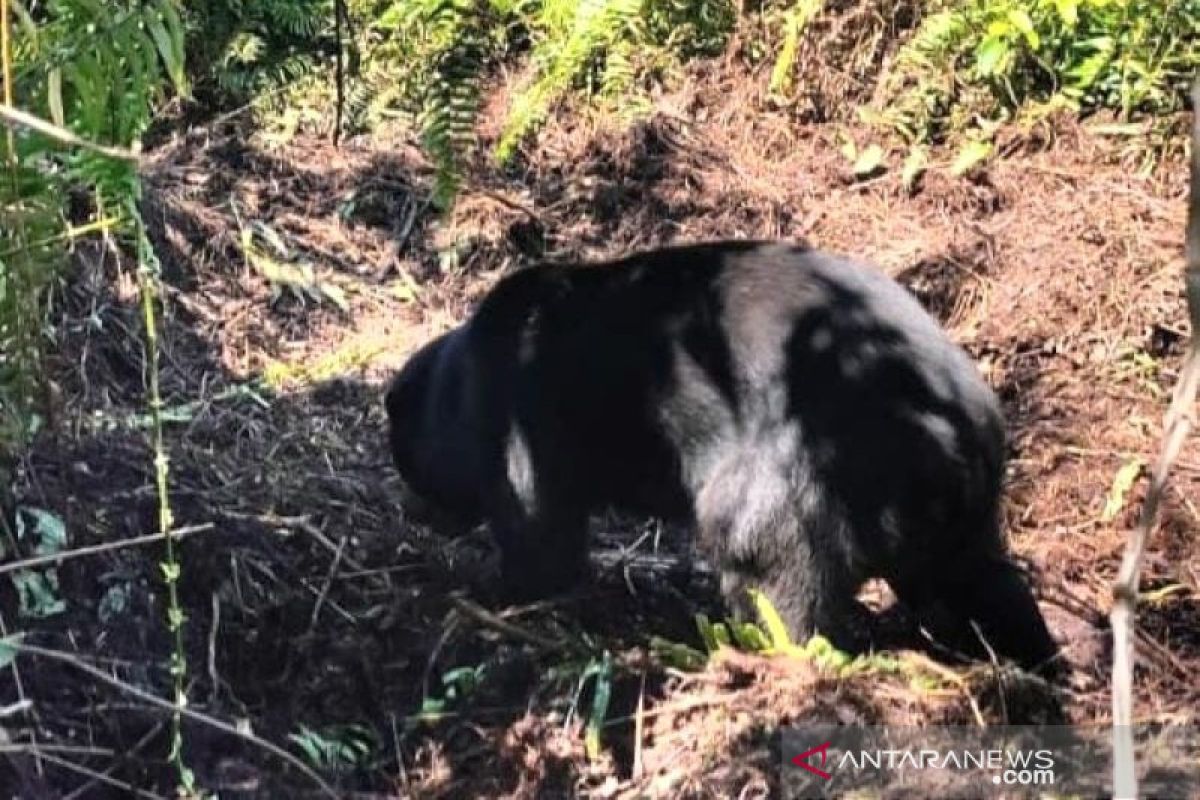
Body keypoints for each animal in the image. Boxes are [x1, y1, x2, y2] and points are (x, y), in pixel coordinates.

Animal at [384, 239, 1060, 676]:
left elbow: (539, 540)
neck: (462, 383)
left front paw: (483, 587)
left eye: (406, 462)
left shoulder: (522, 418)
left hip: (802, 468)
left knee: (769, 568)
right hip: (955, 515)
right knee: (979, 583)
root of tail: (953, 423)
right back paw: (1034, 664)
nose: (412, 509)